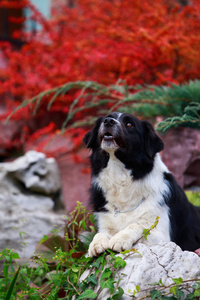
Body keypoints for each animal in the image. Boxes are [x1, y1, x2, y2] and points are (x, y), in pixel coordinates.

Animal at [83, 111, 200, 256]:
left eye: (129, 124)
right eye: (106, 119)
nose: (108, 121)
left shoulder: (164, 237)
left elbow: (138, 225)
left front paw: (120, 239)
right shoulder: (105, 223)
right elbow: (100, 233)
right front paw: (96, 243)